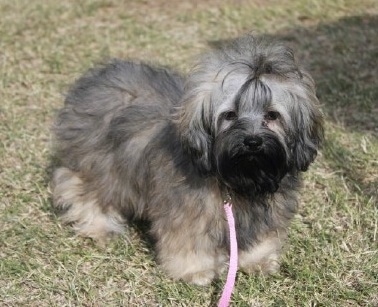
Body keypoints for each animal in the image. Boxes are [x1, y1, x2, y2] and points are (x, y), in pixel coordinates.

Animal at [51, 35, 324, 288]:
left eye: (272, 115)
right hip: (97, 165)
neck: (241, 176)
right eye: (230, 115)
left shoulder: (265, 211)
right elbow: (189, 241)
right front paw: (196, 271)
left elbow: (260, 236)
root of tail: (94, 79)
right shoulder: (187, 212)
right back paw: (99, 226)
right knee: (80, 188)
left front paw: (258, 260)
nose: (253, 141)